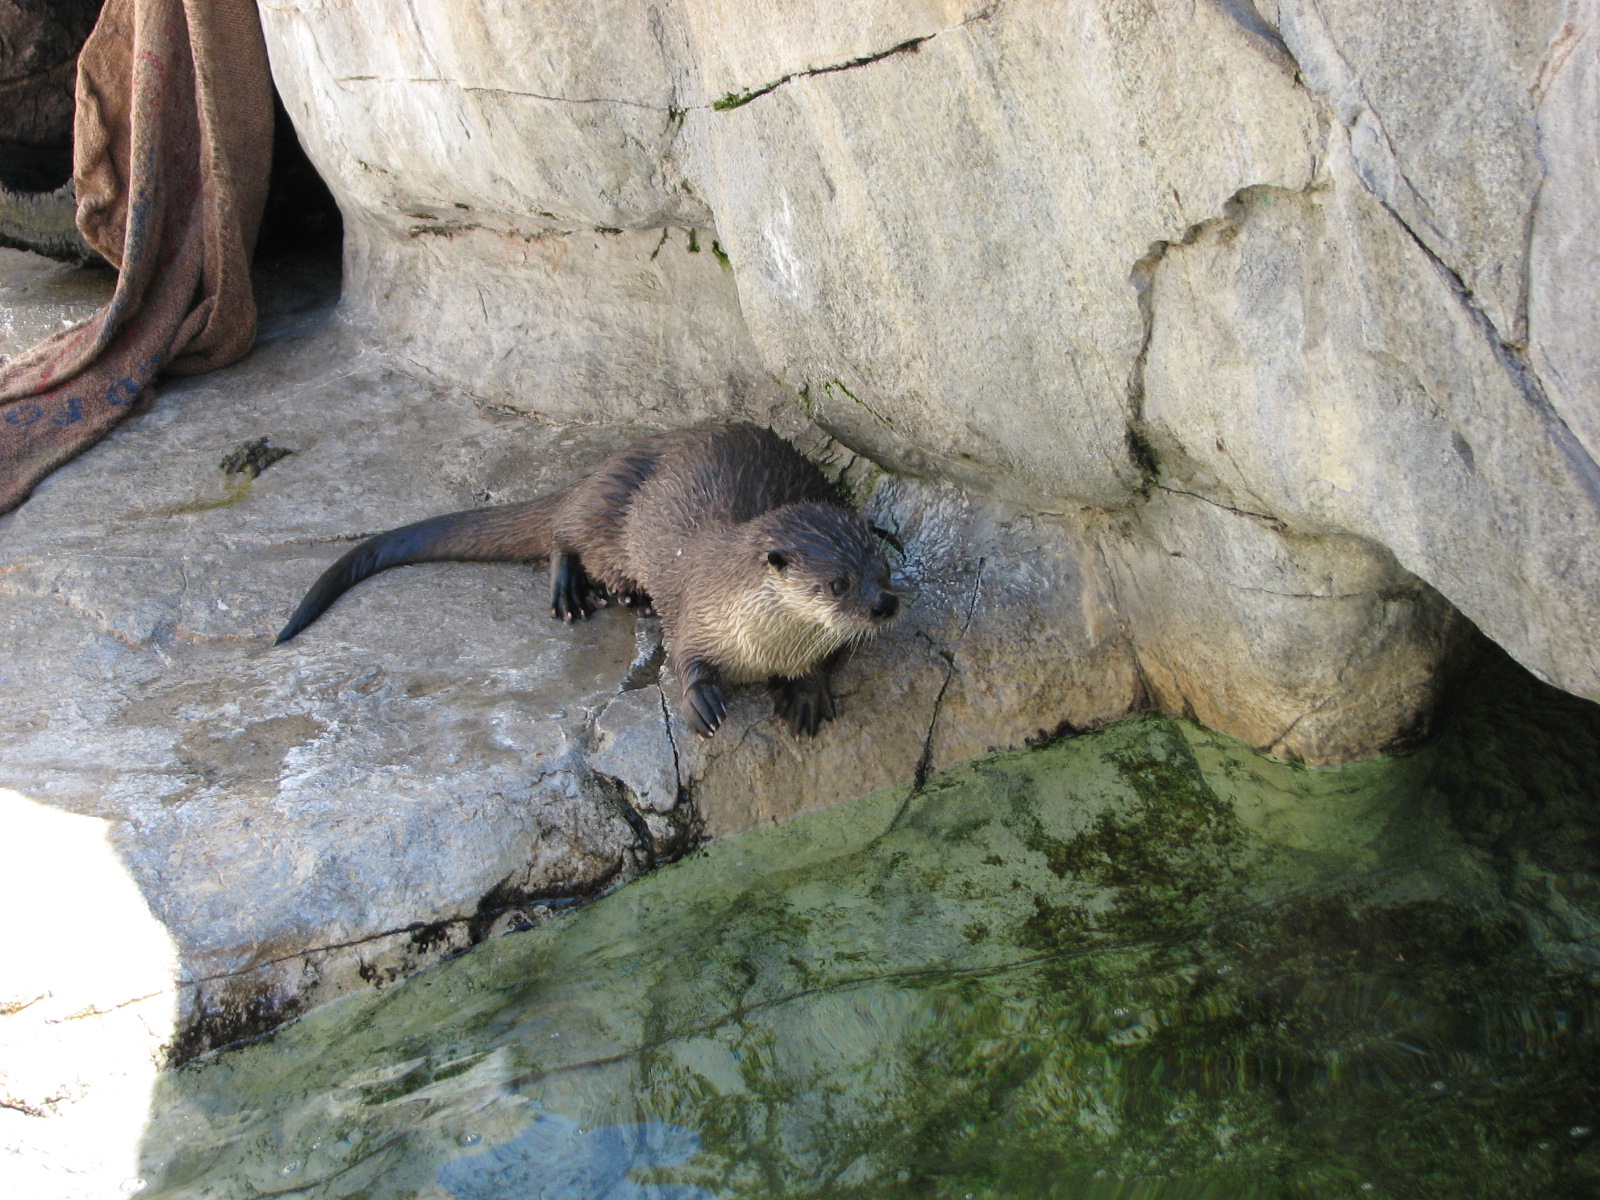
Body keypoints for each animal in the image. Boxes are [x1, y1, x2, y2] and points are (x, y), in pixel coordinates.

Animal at [276, 423, 900, 738]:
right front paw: (699, 701)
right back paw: (573, 592)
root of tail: (603, 466)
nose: (885, 605)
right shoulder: (699, 610)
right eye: (838, 583)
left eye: (883, 568)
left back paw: (632, 600)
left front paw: (806, 694)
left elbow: (821, 663)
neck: (765, 645)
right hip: (608, 515)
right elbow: (685, 657)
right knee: (563, 534)